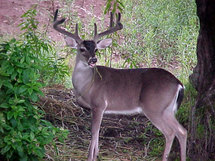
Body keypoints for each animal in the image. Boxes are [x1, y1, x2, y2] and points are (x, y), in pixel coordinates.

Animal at [53, 9, 187, 161]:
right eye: (82, 49)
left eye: (96, 49)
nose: (93, 60)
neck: (88, 84)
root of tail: (179, 83)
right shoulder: (100, 108)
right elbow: (97, 135)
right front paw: (96, 155)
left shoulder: (99, 104)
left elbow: (94, 133)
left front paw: (90, 157)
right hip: (167, 109)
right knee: (182, 131)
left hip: (155, 108)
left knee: (170, 133)